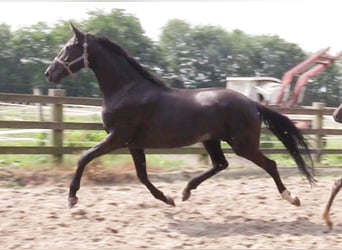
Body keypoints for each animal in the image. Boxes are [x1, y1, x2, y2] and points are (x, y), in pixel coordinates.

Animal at [44, 24, 316, 209]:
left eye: (69, 48)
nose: (49, 73)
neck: (127, 89)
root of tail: (251, 102)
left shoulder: (117, 138)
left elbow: (84, 157)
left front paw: (72, 197)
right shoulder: (133, 143)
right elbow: (142, 175)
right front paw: (168, 198)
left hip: (242, 144)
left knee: (269, 164)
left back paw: (292, 197)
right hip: (212, 140)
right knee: (221, 164)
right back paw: (186, 191)